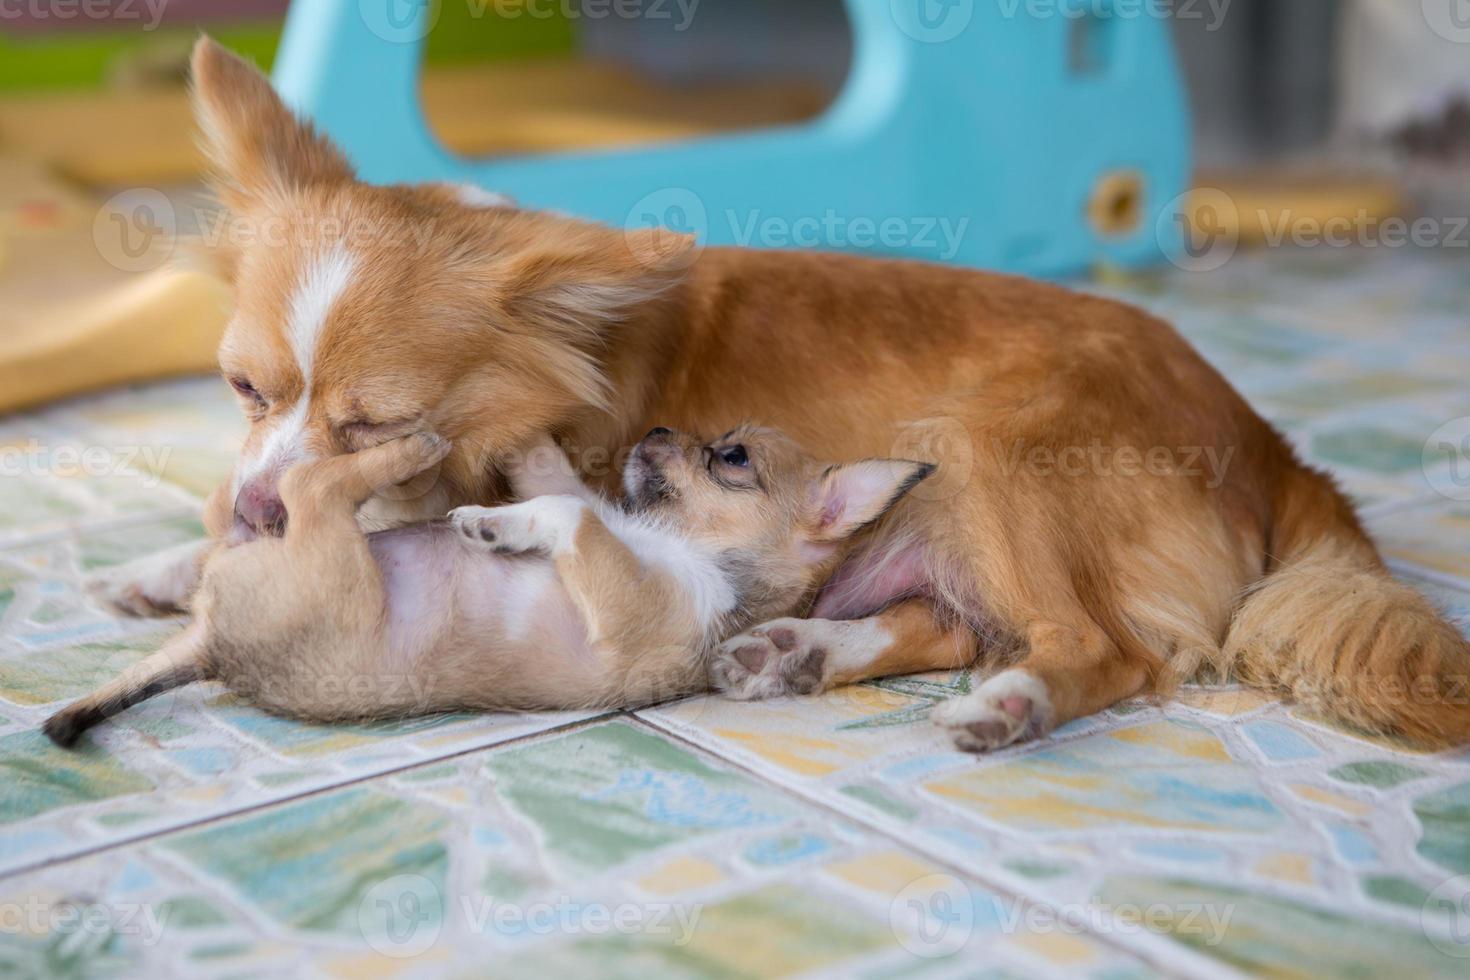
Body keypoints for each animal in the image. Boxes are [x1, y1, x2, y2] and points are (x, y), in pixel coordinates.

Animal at [45, 426, 929, 743]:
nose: (657, 427)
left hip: (336, 557)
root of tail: (212, 651)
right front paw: (533, 446)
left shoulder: (631, 603)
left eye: (733, 457)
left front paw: (500, 523)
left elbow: (572, 516)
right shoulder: (614, 523)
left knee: (311, 487)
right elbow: (578, 493)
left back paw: (406, 449)